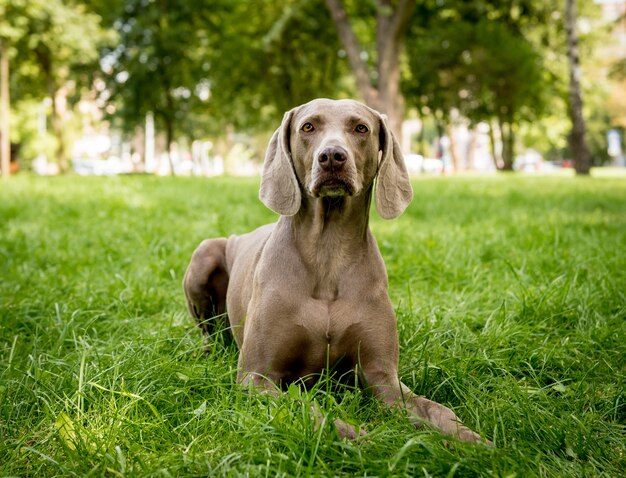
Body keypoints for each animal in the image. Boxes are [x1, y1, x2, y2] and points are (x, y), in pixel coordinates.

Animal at [183, 98, 486, 444]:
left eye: (361, 128)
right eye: (308, 127)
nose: (331, 156)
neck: (328, 253)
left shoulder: (382, 376)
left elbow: (435, 409)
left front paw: (475, 442)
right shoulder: (257, 376)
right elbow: (306, 407)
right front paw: (354, 435)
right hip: (204, 254)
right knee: (209, 332)